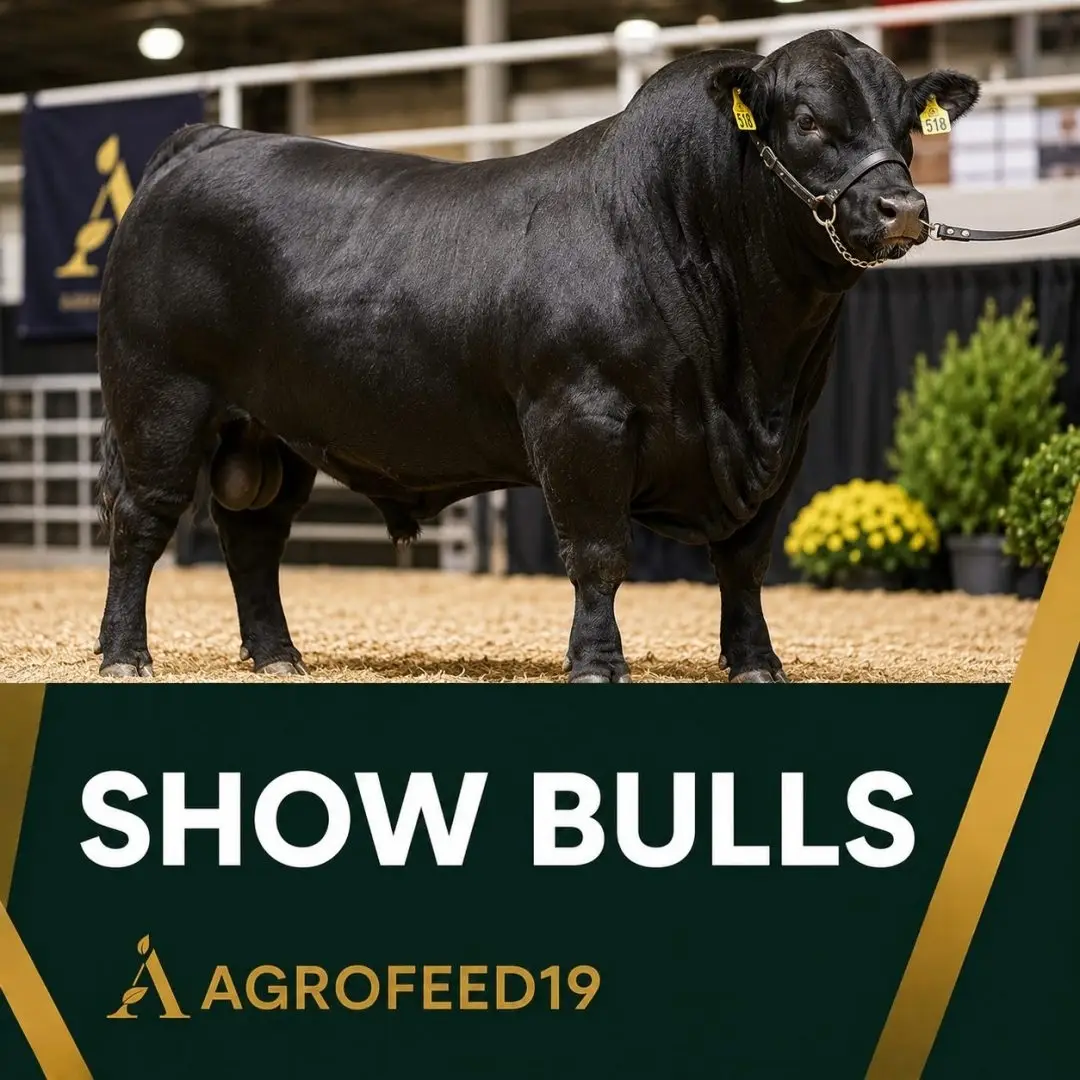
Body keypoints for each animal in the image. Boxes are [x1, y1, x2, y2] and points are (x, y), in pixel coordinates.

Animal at [92, 29, 979, 682]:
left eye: (907, 122)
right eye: (808, 121)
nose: (904, 206)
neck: (752, 366)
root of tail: (211, 139)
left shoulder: (785, 441)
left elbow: (745, 561)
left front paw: (756, 664)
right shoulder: (580, 418)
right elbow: (597, 554)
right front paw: (597, 664)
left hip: (271, 430)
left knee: (253, 536)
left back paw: (279, 658)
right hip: (160, 400)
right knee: (141, 521)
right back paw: (126, 655)